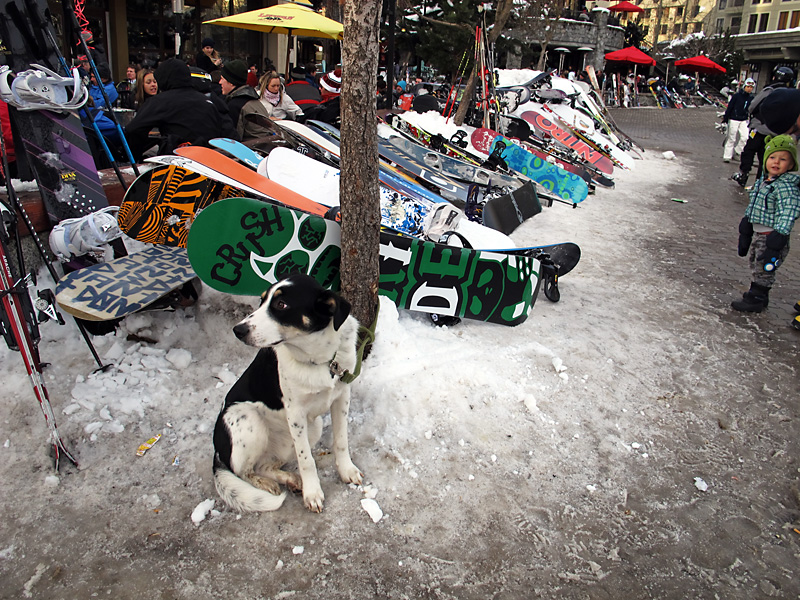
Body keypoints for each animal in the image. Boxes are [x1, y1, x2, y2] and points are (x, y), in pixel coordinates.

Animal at [212, 274, 362, 512]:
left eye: (281, 304)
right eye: (261, 301)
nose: (238, 330)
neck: (320, 359)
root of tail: (217, 452)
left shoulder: (341, 397)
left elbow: (341, 441)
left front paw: (346, 470)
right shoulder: (296, 413)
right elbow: (306, 460)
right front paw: (313, 493)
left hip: (312, 427)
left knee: (263, 466)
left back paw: (289, 479)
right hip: (247, 419)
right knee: (243, 472)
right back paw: (268, 484)